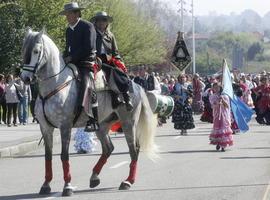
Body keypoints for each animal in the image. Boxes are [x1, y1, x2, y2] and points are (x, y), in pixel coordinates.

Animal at [20, 29, 158, 197]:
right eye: (23, 50)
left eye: (36, 51)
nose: (25, 78)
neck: (56, 85)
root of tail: (136, 86)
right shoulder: (46, 128)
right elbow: (48, 156)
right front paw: (46, 185)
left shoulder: (65, 126)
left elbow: (64, 155)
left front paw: (67, 186)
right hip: (103, 126)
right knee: (108, 148)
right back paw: (94, 177)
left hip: (128, 123)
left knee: (134, 149)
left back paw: (128, 181)